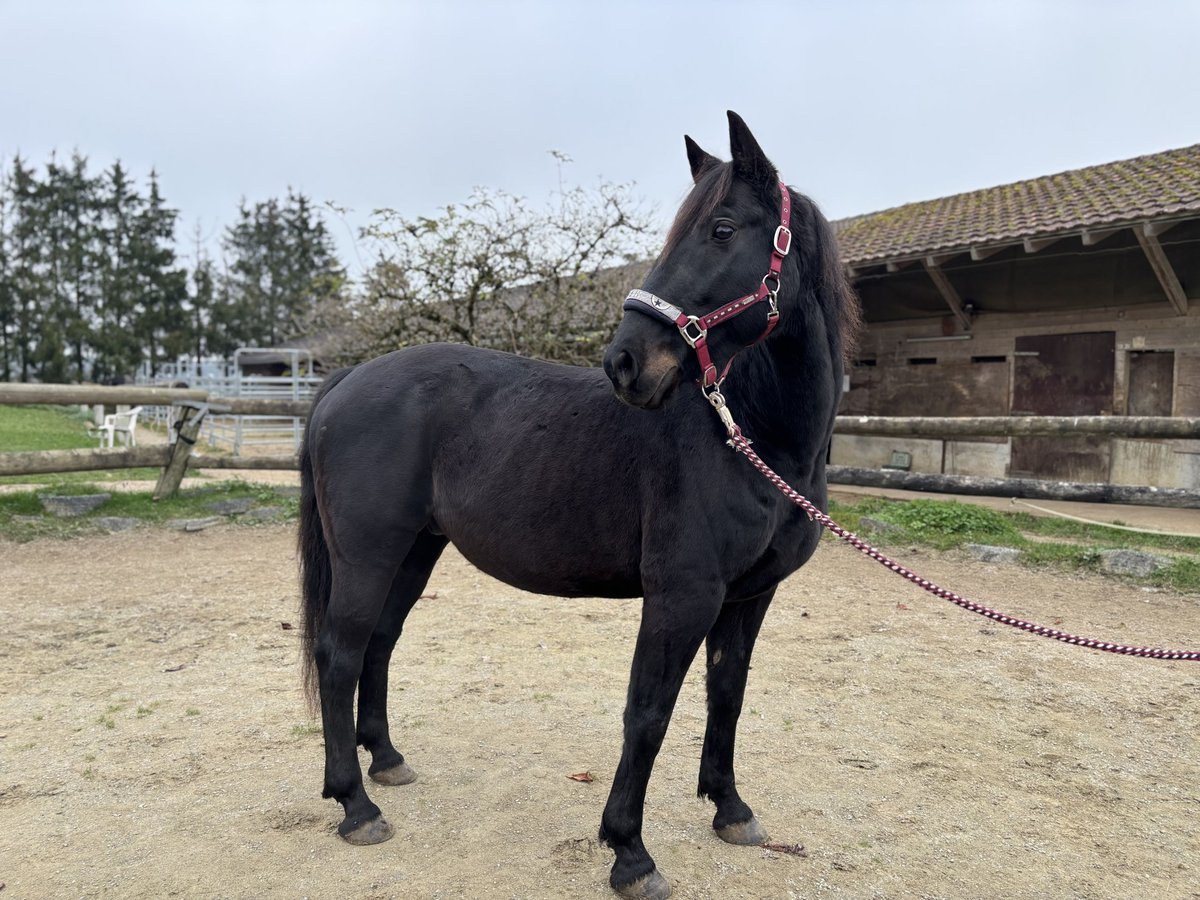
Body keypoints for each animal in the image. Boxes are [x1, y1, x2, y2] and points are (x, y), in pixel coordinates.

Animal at [300, 114, 864, 900]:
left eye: (722, 229)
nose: (625, 363)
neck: (751, 432)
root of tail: (349, 377)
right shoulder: (682, 594)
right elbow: (648, 713)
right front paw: (630, 852)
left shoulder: (749, 597)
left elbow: (727, 695)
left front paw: (730, 809)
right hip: (367, 553)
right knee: (340, 652)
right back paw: (355, 804)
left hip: (415, 549)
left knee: (378, 642)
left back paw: (386, 760)